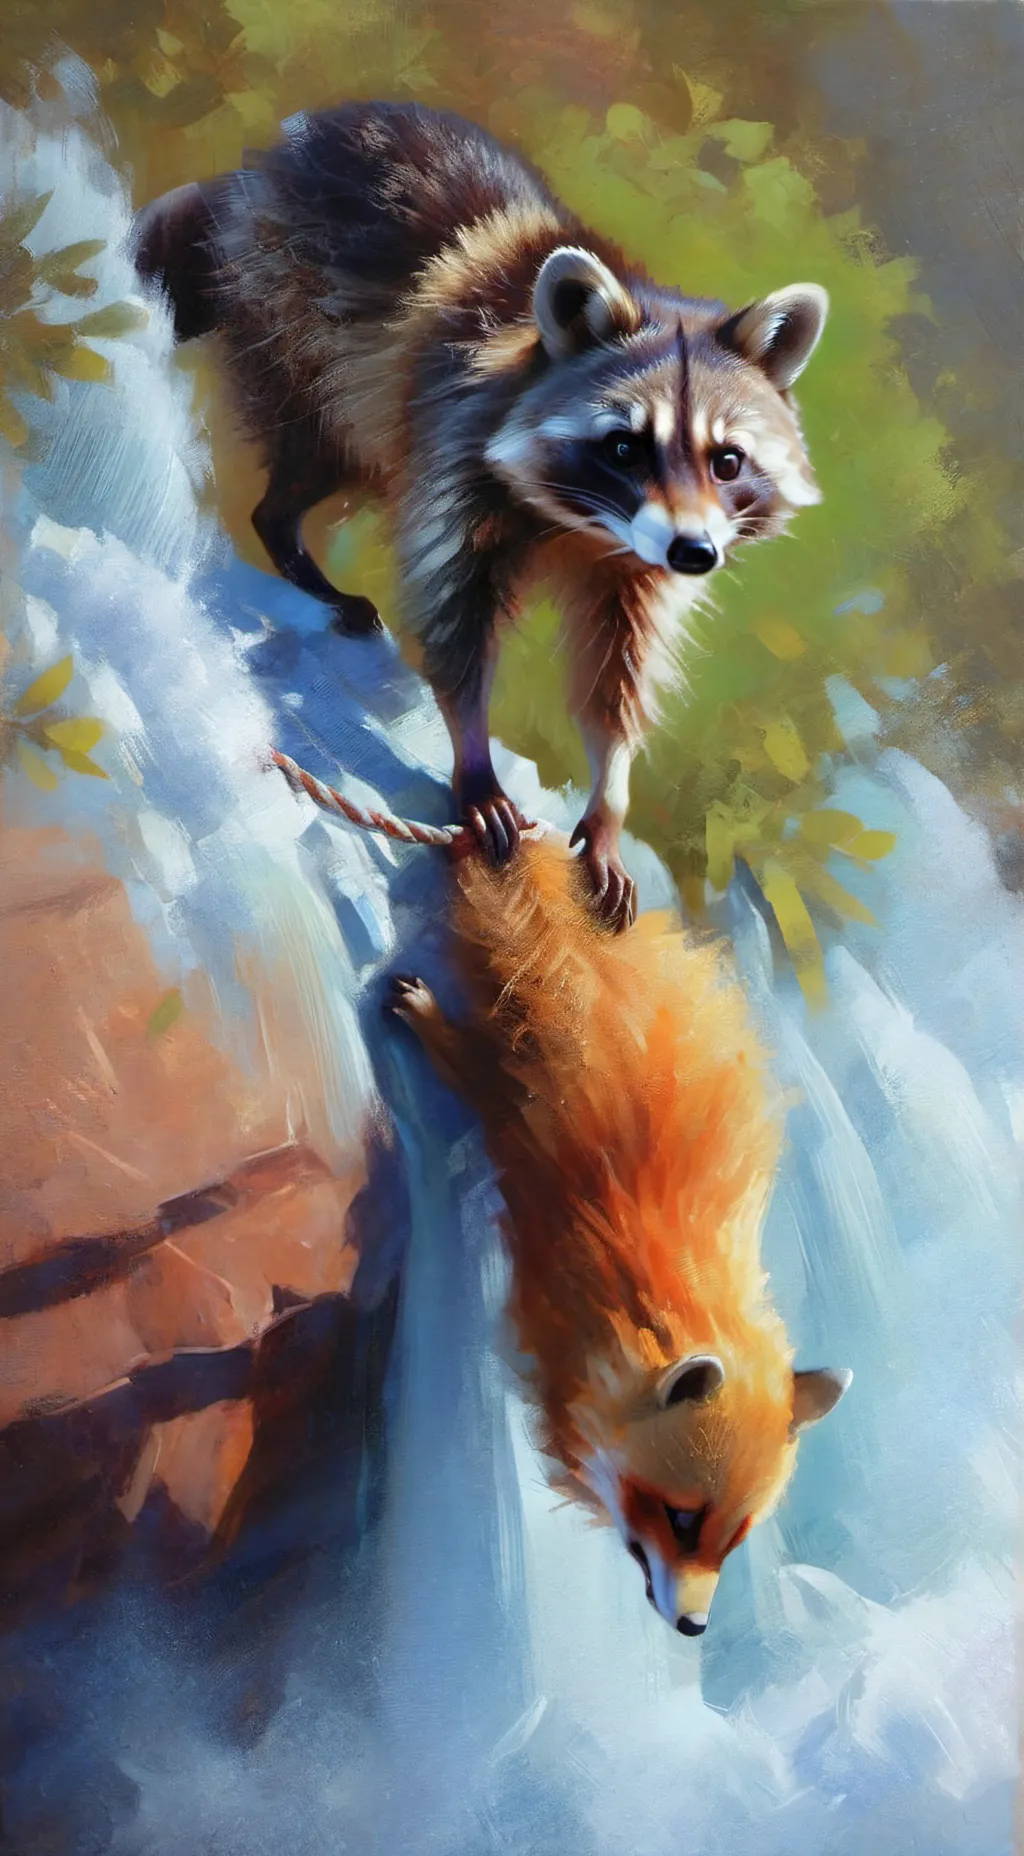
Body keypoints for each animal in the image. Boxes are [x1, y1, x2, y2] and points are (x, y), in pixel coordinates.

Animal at [132, 101, 828, 928]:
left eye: (727, 461)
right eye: (625, 447)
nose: (695, 554)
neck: (587, 524)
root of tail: (263, 161)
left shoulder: (637, 569)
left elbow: (616, 673)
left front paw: (611, 791)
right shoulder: (457, 447)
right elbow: (453, 613)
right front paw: (474, 753)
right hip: (293, 325)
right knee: (309, 458)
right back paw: (296, 550)